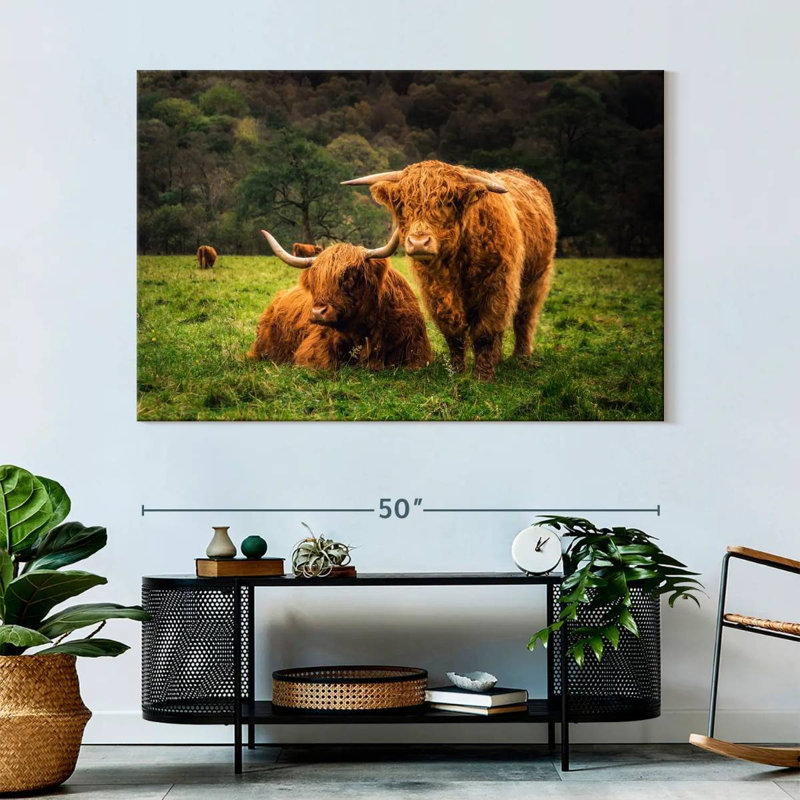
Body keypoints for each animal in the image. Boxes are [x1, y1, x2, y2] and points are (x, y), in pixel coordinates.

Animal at [343, 161, 556, 381]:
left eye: (446, 202)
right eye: (403, 204)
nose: (418, 242)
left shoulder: (497, 288)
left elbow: (485, 332)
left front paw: (483, 377)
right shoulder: (435, 293)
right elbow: (453, 333)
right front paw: (457, 372)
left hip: (536, 279)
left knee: (524, 317)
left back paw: (521, 358)